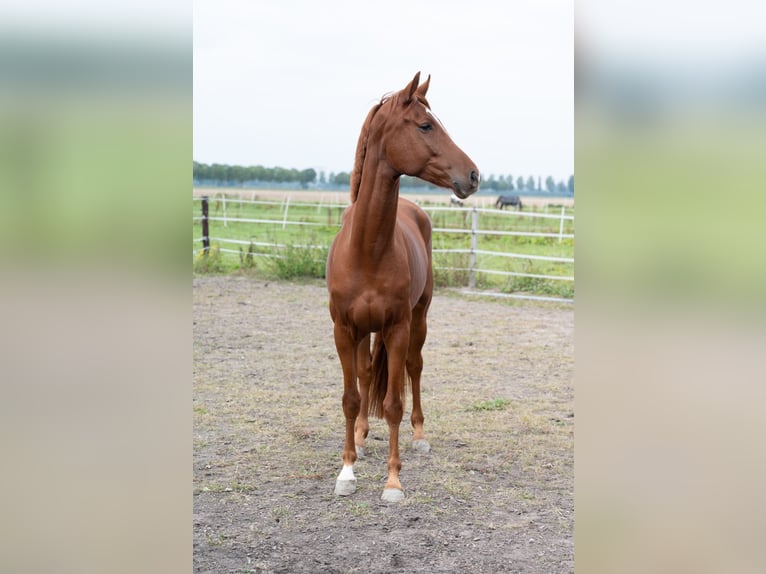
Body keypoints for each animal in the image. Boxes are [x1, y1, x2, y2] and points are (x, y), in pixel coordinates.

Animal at [326, 72, 479, 502]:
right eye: (425, 125)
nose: (473, 175)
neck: (367, 248)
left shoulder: (397, 328)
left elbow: (393, 402)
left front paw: (393, 482)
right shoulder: (344, 330)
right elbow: (350, 398)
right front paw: (347, 471)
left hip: (419, 317)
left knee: (414, 368)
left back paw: (419, 434)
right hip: (365, 331)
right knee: (364, 376)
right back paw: (362, 437)